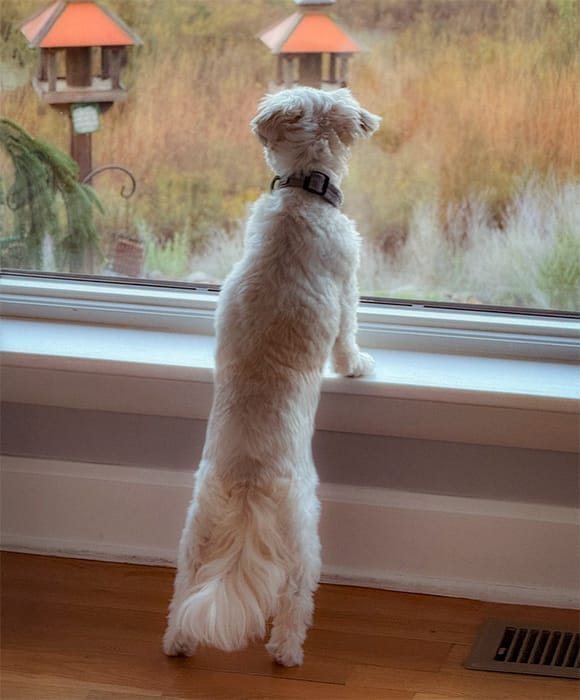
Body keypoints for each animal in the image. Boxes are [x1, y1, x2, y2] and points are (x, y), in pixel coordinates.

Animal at [163, 86, 380, 667]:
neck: (302, 193)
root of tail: (247, 484)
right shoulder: (348, 287)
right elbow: (348, 337)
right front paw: (358, 366)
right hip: (304, 531)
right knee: (296, 595)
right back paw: (287, 651)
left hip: (196, 527)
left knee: (184, 591)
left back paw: (178, 641)